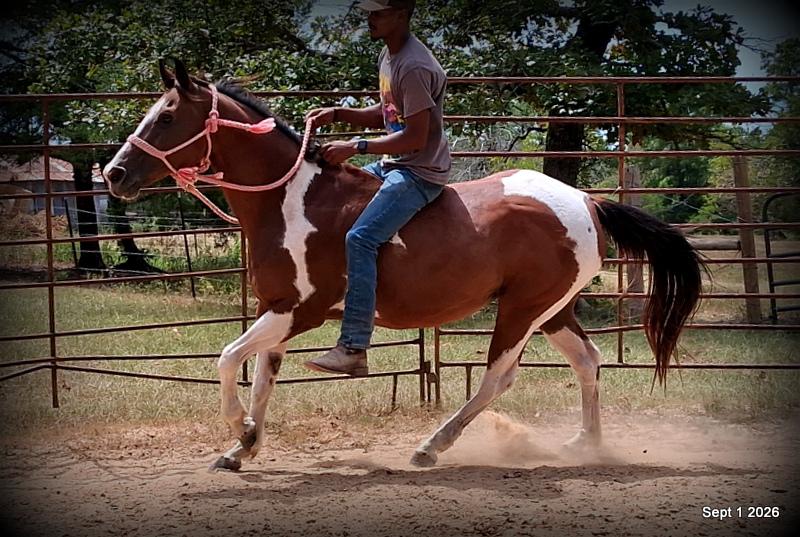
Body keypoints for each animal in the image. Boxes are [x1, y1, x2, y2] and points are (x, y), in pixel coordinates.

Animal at [103, 60, 703, 471]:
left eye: (167, 116)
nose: (113, 173)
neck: (293, 200)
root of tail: (586, 201)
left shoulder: (300, 311)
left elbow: (228, 359)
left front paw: (240, 432)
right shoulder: (278, 312)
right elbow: (261, 381)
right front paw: (242, 445)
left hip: (522, 311)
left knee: (499, 377)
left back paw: (432, 446)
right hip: (552, 310)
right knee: (588, 360)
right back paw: (586, 443)